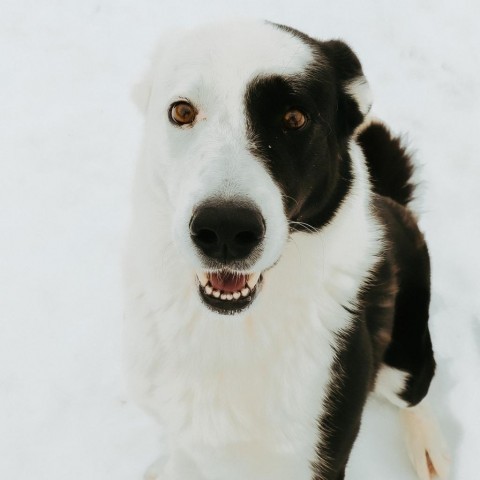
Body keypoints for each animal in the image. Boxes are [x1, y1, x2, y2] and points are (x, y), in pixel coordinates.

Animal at [124, 18, 450, 480]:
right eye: (182, 112)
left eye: (294, 118)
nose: (225, 229)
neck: (230, 330)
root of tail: (393, 202)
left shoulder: (321, 455)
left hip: (401, 361)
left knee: (419, 389)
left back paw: (427, 446)